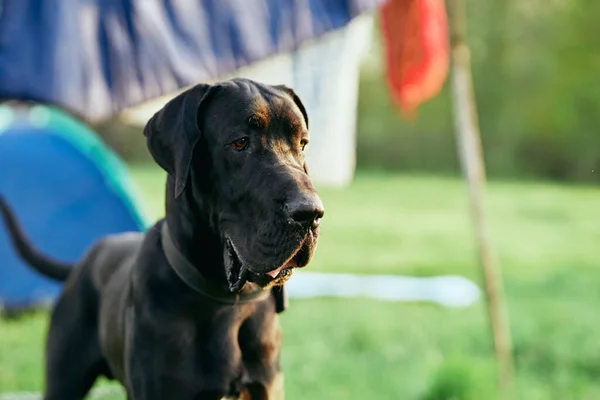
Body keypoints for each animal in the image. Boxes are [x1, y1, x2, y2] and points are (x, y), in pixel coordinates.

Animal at [0, 79, 324, 400]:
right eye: (240, 143)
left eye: (302, 144)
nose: (311, 213)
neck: (223, 304)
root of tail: (87, 256)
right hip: (64, 378)